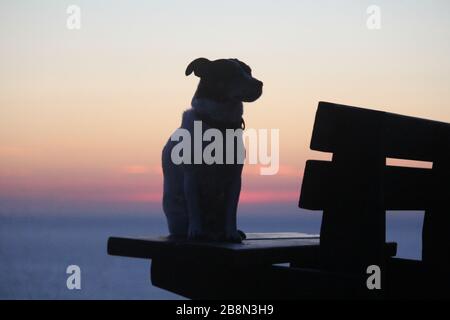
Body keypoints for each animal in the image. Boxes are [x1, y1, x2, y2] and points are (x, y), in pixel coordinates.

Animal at [162, 58, 262, 242]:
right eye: (231, 73)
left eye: (249, 71)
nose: (260, 84)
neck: (219, 124)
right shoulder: (191, 178)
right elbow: (194, 209)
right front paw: (195, 231)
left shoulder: (234, 179)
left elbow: (231, 212)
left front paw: (231, 232)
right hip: (177, 214)